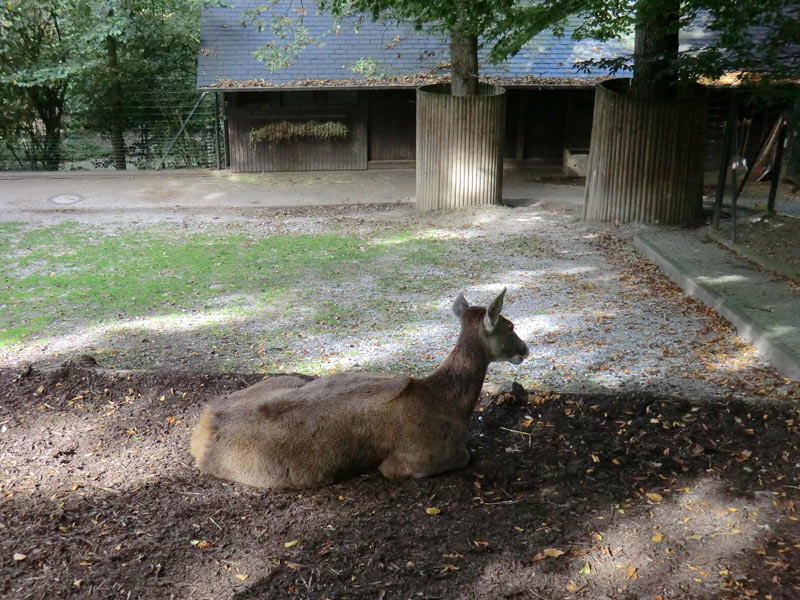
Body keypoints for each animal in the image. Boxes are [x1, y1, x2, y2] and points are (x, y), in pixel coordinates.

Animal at [190, 288, 528, 490]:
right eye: (510, 326)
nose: (525, 348)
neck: (450, 406)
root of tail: (201, 429)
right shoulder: (411, 461)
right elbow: (466, 455)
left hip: (288, 379)